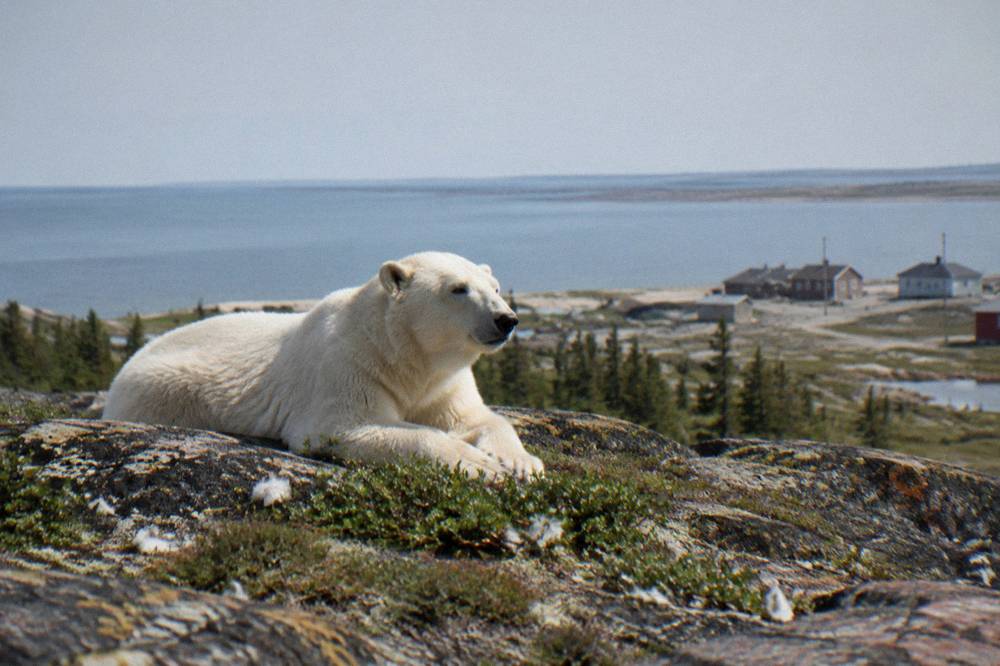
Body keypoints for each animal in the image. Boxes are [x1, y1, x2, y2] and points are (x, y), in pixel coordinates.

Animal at [102, 252, 543, 479]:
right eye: (458, 288)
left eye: (495, 287)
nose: (506, 319)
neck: (403, 351)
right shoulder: (349, 366)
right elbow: (349, 426)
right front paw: (480, 464)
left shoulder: (444, 381)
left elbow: (474, 418)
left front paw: (521, 462)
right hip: (162, 391)